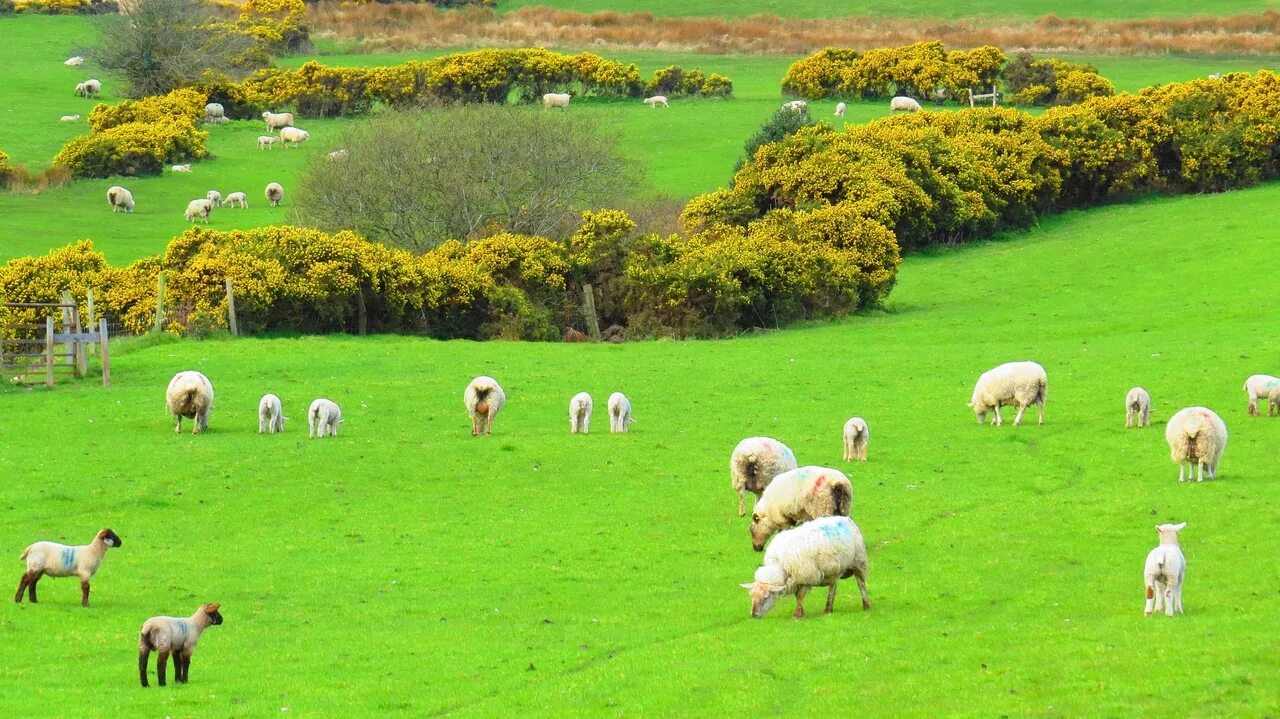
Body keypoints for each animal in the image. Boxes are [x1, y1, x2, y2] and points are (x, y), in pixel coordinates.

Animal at [742, 514, 870, 616]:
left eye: (766, 597)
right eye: (751, 595)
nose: (753, 615)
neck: (780, 565)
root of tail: (845, 518)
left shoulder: (806, 577)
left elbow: (799, 596)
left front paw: (797, 615)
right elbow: (798, 596)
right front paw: (800, 612)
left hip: (858, 561)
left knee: (861, 583)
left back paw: (866, 605)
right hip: (832, 570)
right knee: (833, 587)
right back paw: (828, 609)